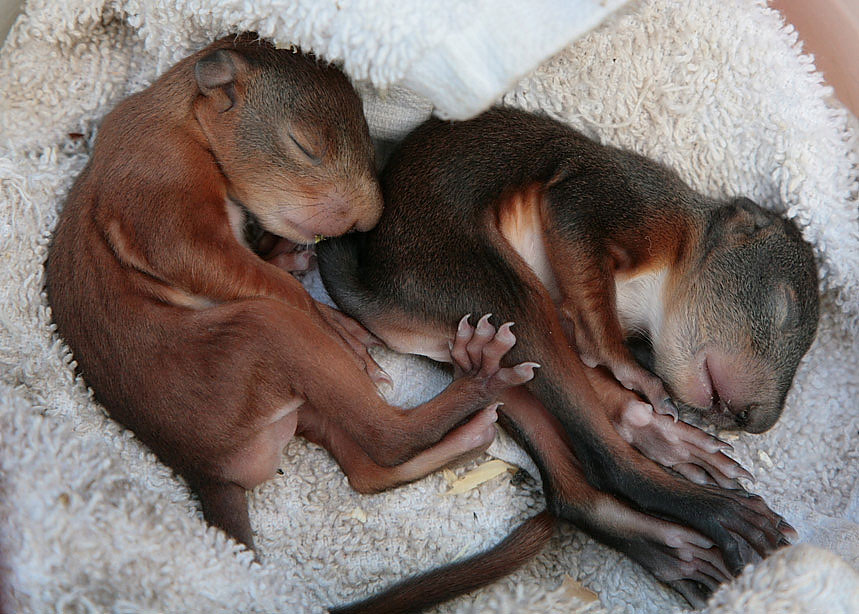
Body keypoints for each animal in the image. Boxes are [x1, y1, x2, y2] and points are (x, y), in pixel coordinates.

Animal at [318, 108, 820, 612]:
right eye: (784, 307)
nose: (756, 419)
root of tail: (375, 292)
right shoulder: (625, 197)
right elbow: (579, 240)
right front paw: (629, 367)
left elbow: (589, 350)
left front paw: (653, 417)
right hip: (487, 283)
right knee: (606, 461)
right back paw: (712, 512)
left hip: (490, 347)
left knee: (570, 484)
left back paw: (666, 525)